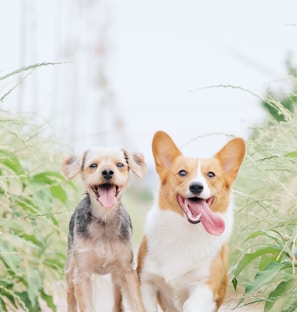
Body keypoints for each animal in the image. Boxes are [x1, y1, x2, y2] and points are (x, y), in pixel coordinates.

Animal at [61, 147, 146, 312]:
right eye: (93, 165)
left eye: (120, 164)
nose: (107, 172)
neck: (104, 220)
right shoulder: (82, 273)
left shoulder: (127, 270)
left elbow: (137, 303)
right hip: (70, 270)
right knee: (70, 298)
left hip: (116, 276)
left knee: (118, 300)